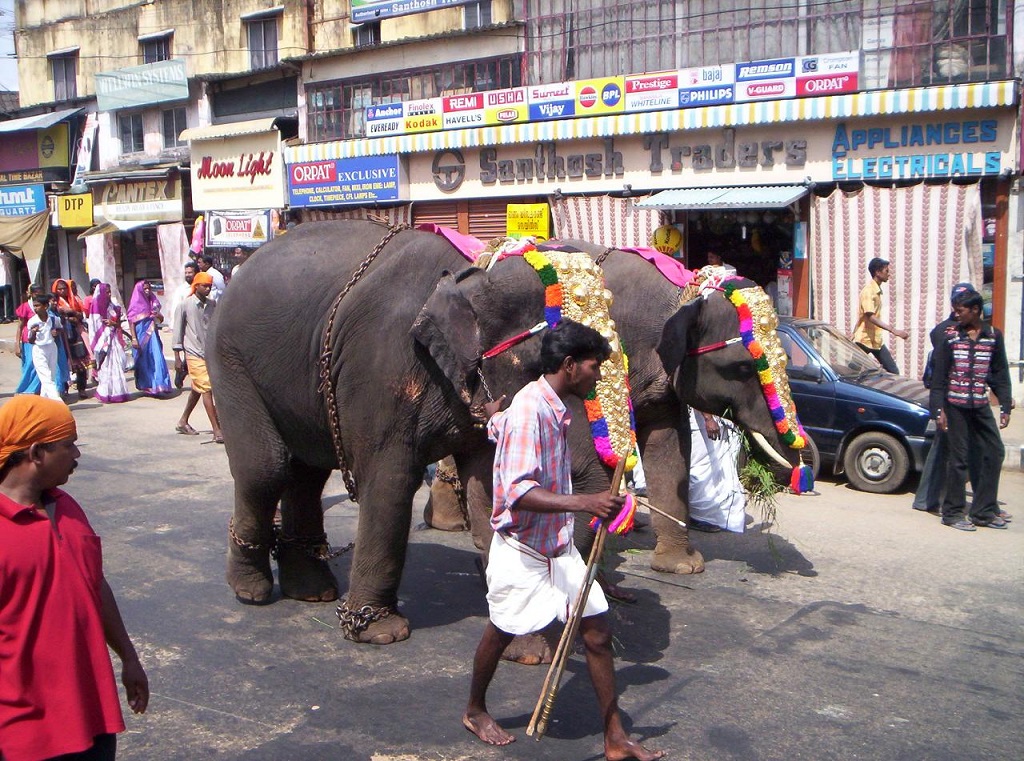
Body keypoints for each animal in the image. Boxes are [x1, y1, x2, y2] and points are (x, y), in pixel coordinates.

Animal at [209, 220, 803, 646]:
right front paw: (381, 633)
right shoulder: (382, 368)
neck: (476, 271)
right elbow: (389, 481)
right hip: (230, 362)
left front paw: (675, 568)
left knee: (306, 472)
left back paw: (311, 592)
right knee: (268, 468)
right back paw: (255, 592)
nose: (797, 467)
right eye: (745, 366)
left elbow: (661, 450)